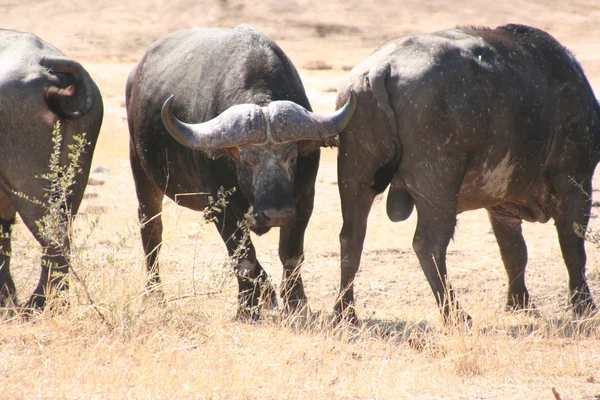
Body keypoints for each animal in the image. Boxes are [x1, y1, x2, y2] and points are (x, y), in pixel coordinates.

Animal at [123, 25, 354, 318]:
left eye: (291, 157)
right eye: (247, 160)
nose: (276, 213)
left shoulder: (303, 200)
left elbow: (289, 253)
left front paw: (295, 303)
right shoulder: (219, 208)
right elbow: (243, 257)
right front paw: (248, 307)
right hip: (142, 172)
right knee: (151, 231)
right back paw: (155, 294)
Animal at [336, 25, 596, 324]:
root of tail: (381, 67)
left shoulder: (501, 206)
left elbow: (514, 252)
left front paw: (519, 303)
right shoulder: (576, 184)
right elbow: (572, 249)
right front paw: (584, 305)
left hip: (354, 175)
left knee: (351, 237)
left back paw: (345, 312)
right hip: (437, 185)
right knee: (428, 245)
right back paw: (456, 314)